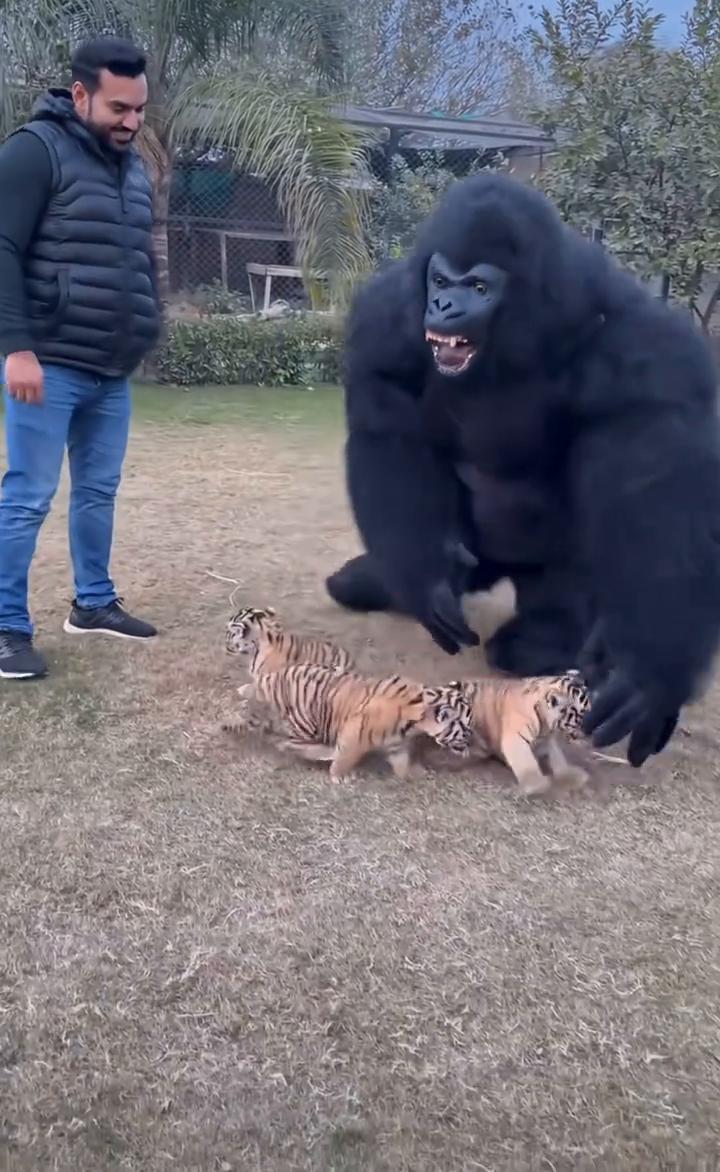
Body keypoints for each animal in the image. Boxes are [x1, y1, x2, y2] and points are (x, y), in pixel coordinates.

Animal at [234, 662, 475, 783]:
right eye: (465, 727)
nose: (471, 740)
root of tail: (270, 680)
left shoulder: (396, 744)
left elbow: (402, 762)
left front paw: (412, 773)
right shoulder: (355, 733)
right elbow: (345, 758)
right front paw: (338, 776)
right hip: (306, 720)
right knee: (287, 743)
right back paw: (324, 753)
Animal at [442, 669, 592, 795]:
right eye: (579, 716)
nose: (579, 736)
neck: (545, 724)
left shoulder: (546, 739)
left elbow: (557, 757)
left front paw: (571, 775)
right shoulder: (516, 738)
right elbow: (527, 764)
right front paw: (537, 786)